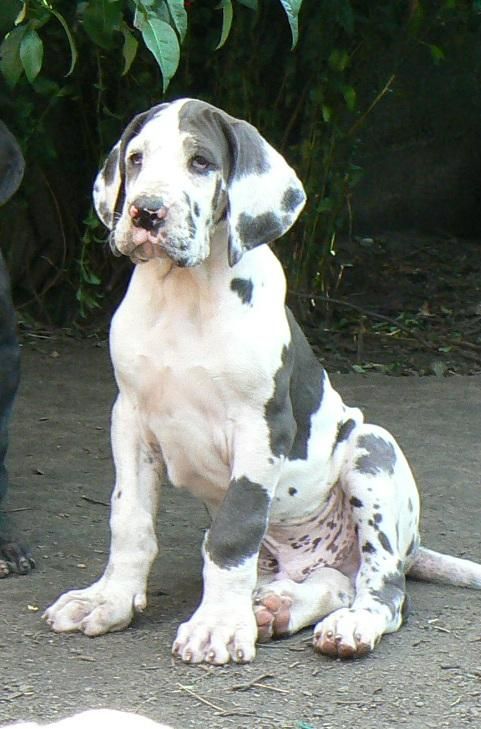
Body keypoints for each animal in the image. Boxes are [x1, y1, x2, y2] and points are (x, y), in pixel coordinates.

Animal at [44, 99, 480, 664]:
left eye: (201, 162)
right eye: (136, 159)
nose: (145, 212)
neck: (183, 296)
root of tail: (415, 546)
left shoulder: (260, 427)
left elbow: (235, 530)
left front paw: (216, 627)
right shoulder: (130, 419)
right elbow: (129, 519)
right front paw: (109, 600)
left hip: (372, 452)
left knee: (382, 588)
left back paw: (349, 624)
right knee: (333, 581)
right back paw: (277, 606)